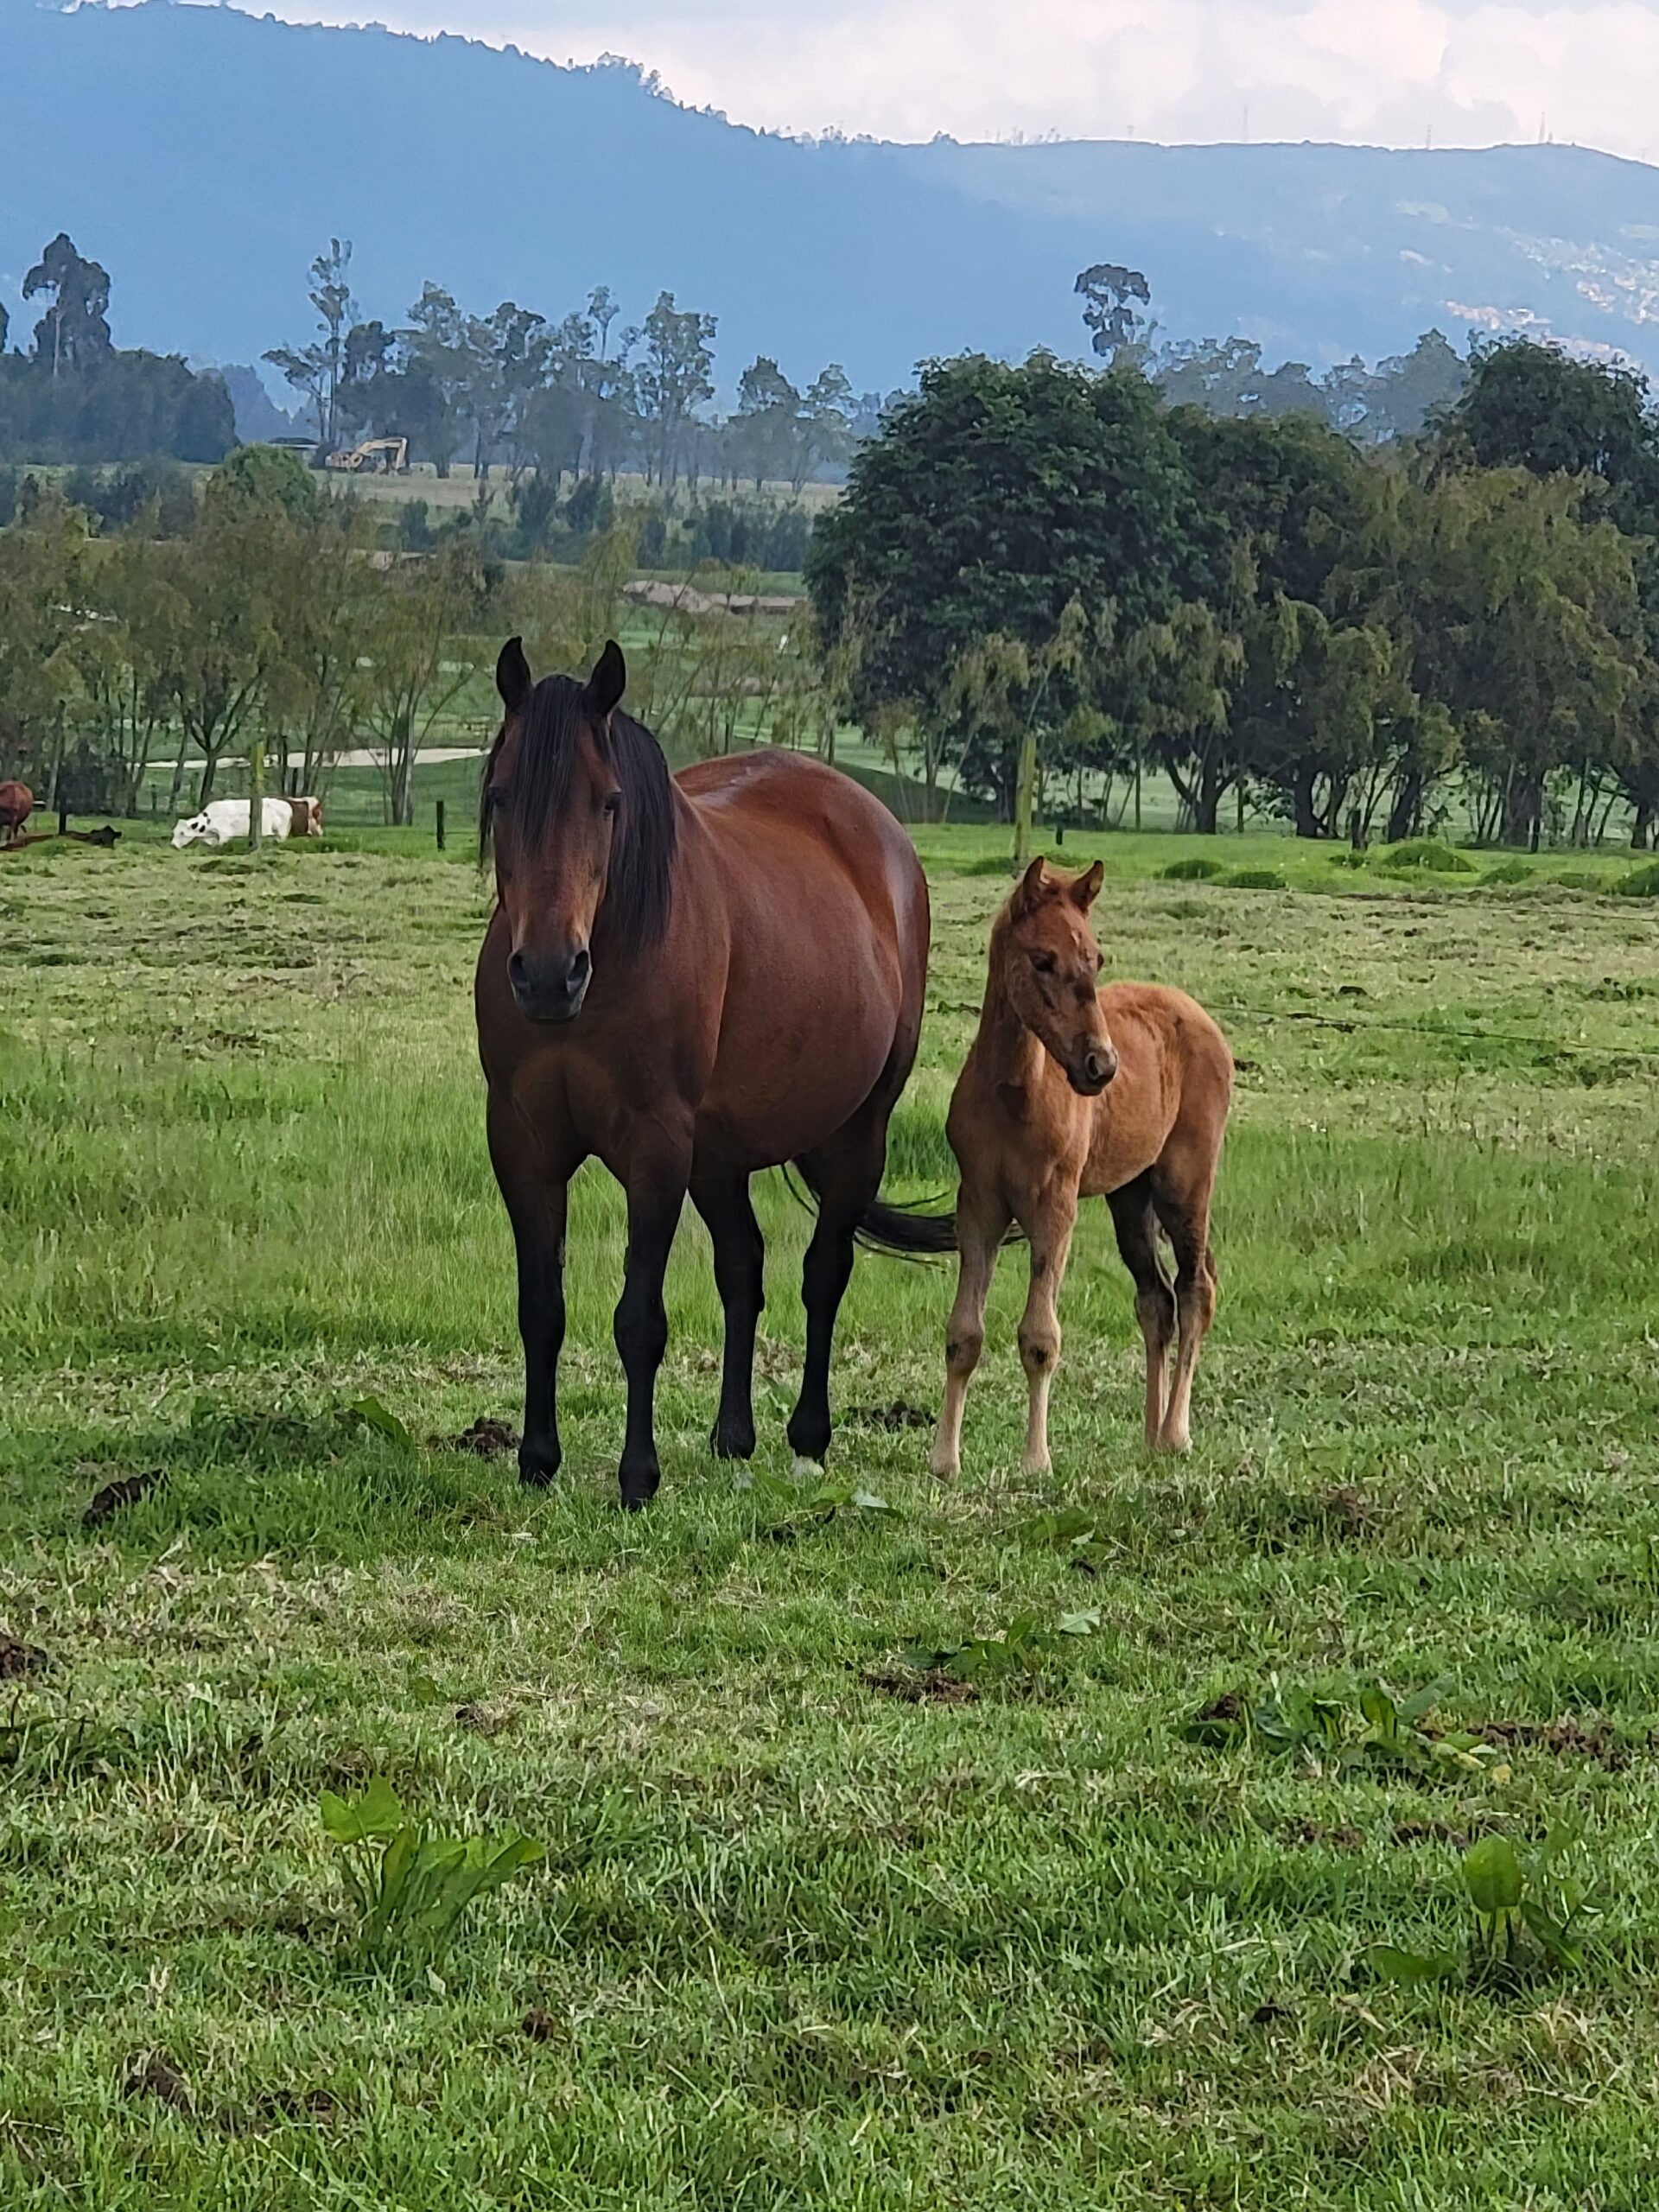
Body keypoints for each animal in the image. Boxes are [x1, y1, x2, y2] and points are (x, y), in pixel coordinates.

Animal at [938, 854, 1238, 1478]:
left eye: (1096, 959)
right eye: (1042, 959)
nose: (1101, 1066)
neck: (1014, 1093)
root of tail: (1199, 1016)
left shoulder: (1055, 1209)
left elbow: (1039, 1337)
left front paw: (1036, 1461)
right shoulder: (978, 1206)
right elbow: (964, 1334)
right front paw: (944, 1460)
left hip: (1184, 1186)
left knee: (1195, 1288)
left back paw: (1175, 1434)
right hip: (1130, 1197)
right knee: (1156, 1300)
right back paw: (1149, 1435)